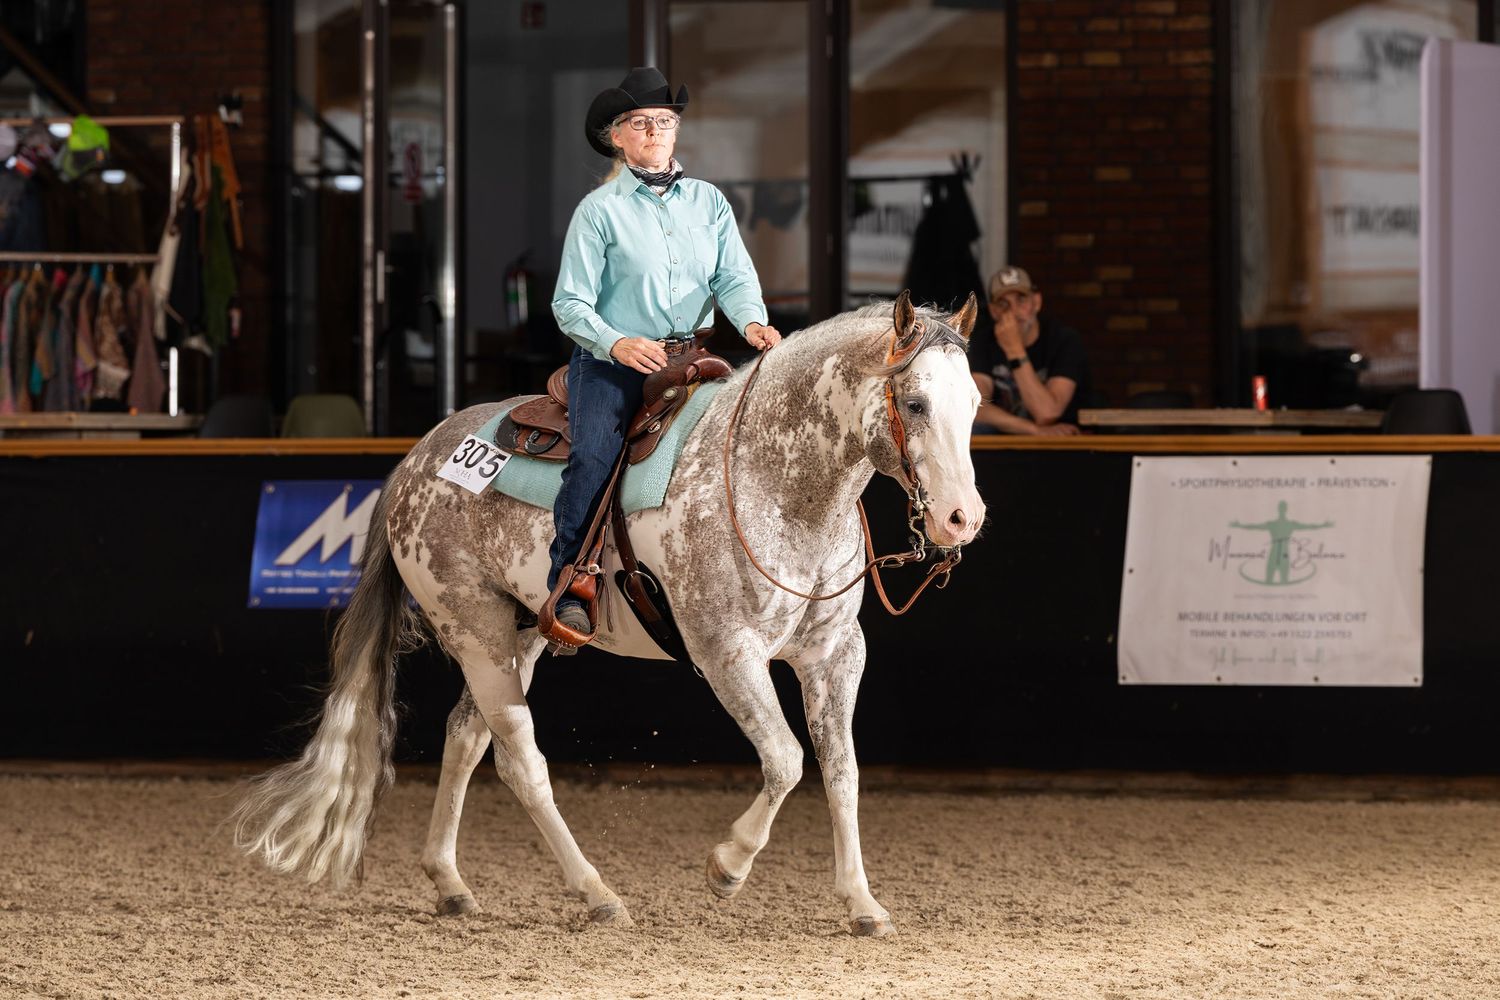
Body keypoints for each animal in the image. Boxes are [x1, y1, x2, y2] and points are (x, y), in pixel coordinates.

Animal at [232, 291, 986, 937]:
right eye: (915, 401)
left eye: (975, 403)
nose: (962, 518)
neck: (772, 480)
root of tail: (416, 458)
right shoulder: (727, 652)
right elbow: (785, 760)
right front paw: (728, 866)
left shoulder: (834, 655)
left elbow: (841, 770)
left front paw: (861, 903)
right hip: (472, 629)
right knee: (522, 761)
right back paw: (597, 894)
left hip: (521, 634)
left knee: (468, 739)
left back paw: (449, 882)